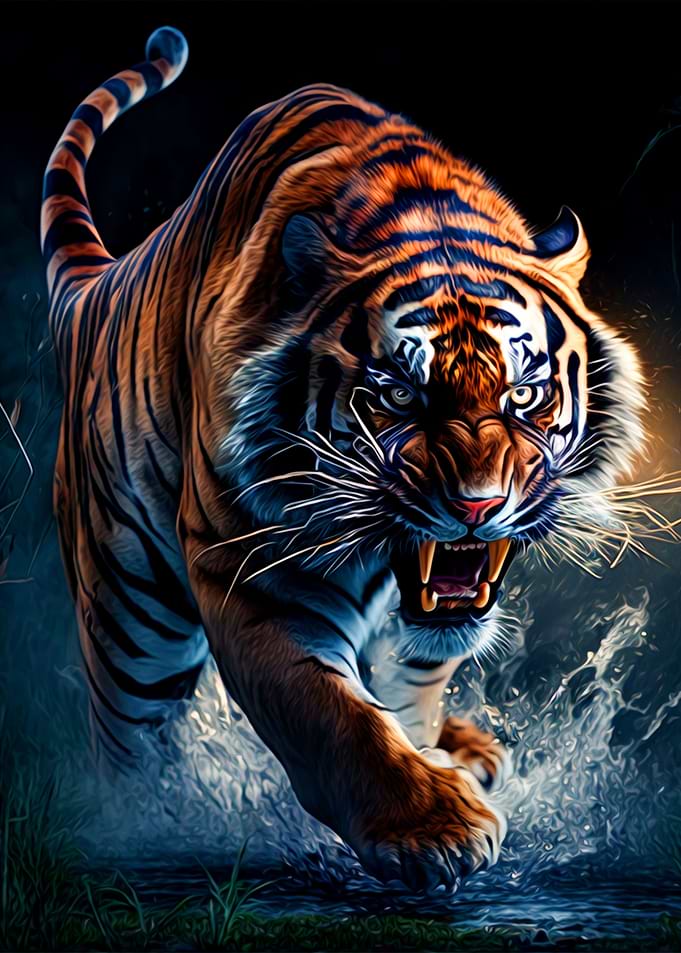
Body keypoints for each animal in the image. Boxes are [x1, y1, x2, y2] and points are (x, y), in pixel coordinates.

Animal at [41, 27, 645, 890]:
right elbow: (331, 714)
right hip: (130, 616)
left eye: (524, 395)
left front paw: (440, 759)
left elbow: (406, 689)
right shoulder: (257, 568)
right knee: (128, 741)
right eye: (397, 395)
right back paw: (135, 829)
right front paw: (437, 830)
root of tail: (101, 284)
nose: (476, 505)